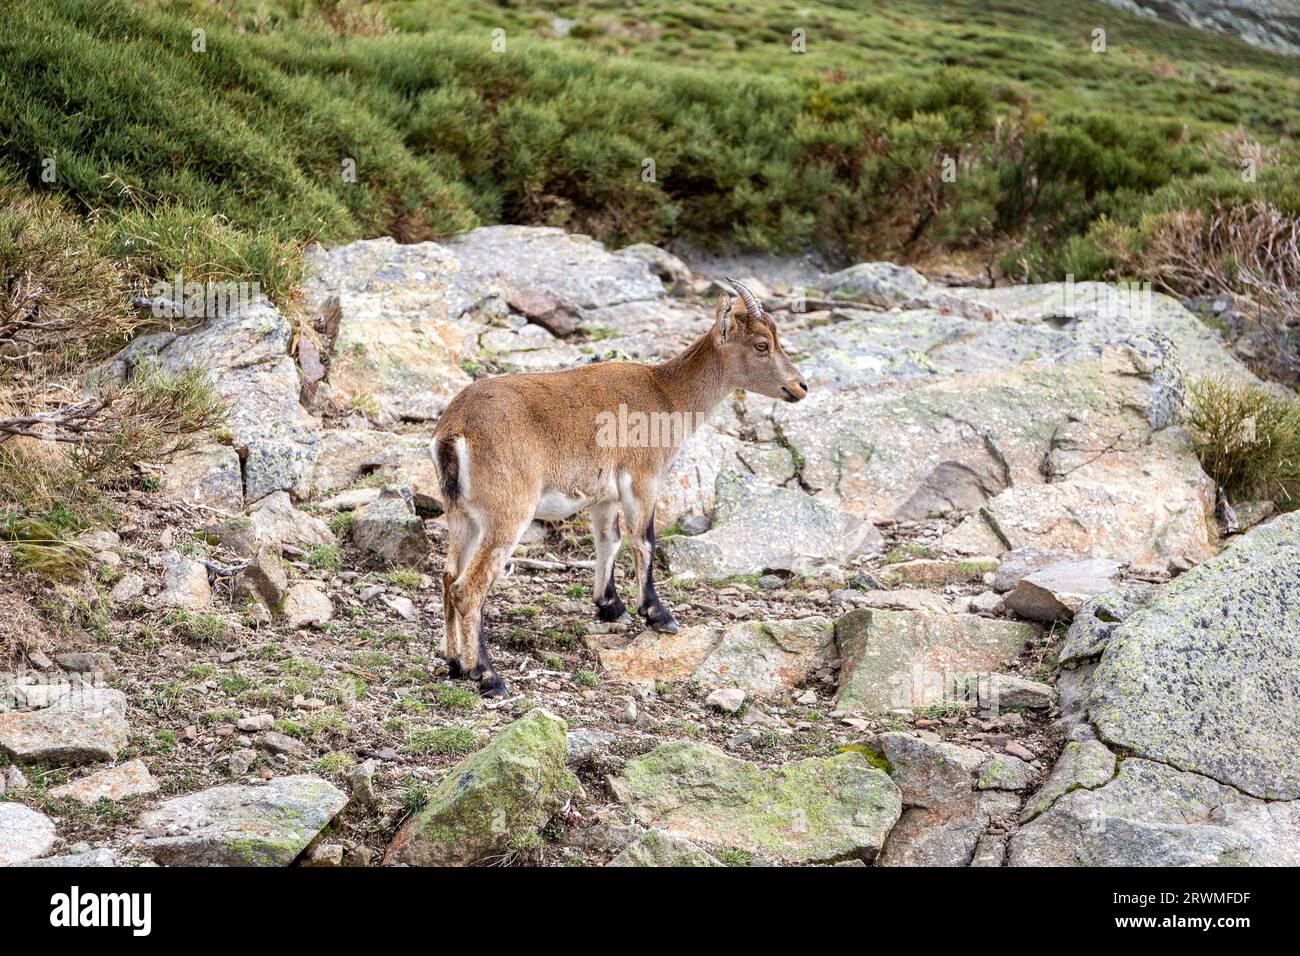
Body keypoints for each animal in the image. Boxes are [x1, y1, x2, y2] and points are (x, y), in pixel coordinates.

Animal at [432, 279, 807, 695]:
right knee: (470, 587)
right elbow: (644, 540)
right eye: (762, 345)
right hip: (508, 514)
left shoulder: (604, 495)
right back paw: (487, 674)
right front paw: (658, 615)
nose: (800, 386)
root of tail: (455, 430)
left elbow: (607, 540)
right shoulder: (643, 479)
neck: (667, 392)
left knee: (448, 576)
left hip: (462, 514)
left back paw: (454, 663)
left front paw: (609, 605)